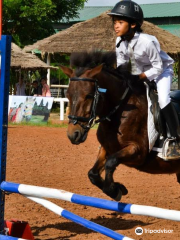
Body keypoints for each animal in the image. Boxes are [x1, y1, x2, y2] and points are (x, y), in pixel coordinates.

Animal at [60, 50, 180, 201]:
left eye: (88, 95)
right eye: (68, 95)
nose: (73, 134)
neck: (119, 111)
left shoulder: (138, 151)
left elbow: (111, 163)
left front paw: (115, 190)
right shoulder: (108, 148)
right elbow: (92, 173)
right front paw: (118, 188)